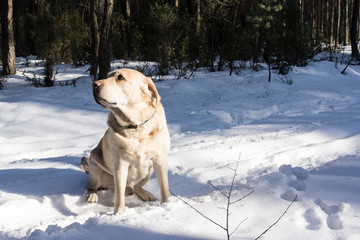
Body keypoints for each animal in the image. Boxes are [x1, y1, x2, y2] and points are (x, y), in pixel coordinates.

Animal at [81, 68, 170, 215]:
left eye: (120, 77)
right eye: (107, 76)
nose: (94, 84)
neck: (135, 127)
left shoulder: (160, 160)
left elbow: (165, 189)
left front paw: (167, 205)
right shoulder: (120, 165)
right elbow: (119, 195)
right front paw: (118, 214)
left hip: (150, 170)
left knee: (137, 186)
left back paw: (146, 194)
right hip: (95, 167)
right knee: (92, 187)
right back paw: (92, 195)